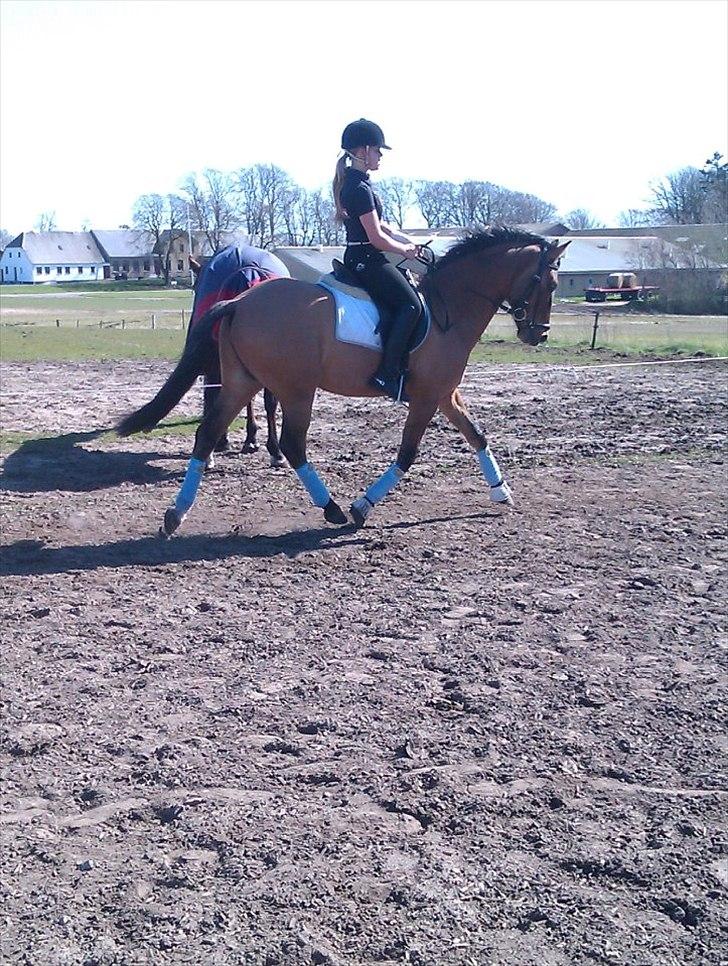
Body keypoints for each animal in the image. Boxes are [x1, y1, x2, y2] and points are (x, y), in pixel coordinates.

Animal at [153, 227, 569, 537]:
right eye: (550, 283)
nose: (539, 334)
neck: (448, 309)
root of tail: (241, 301)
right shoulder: (426, 397)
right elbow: (407, 454)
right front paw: (361, 507)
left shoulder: (445, 393)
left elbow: (477, 434)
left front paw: (502, 492)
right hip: (296, 390)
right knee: (292, 445)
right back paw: (333, 509)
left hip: (243, 382)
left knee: (207, 434)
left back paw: (176, 514)